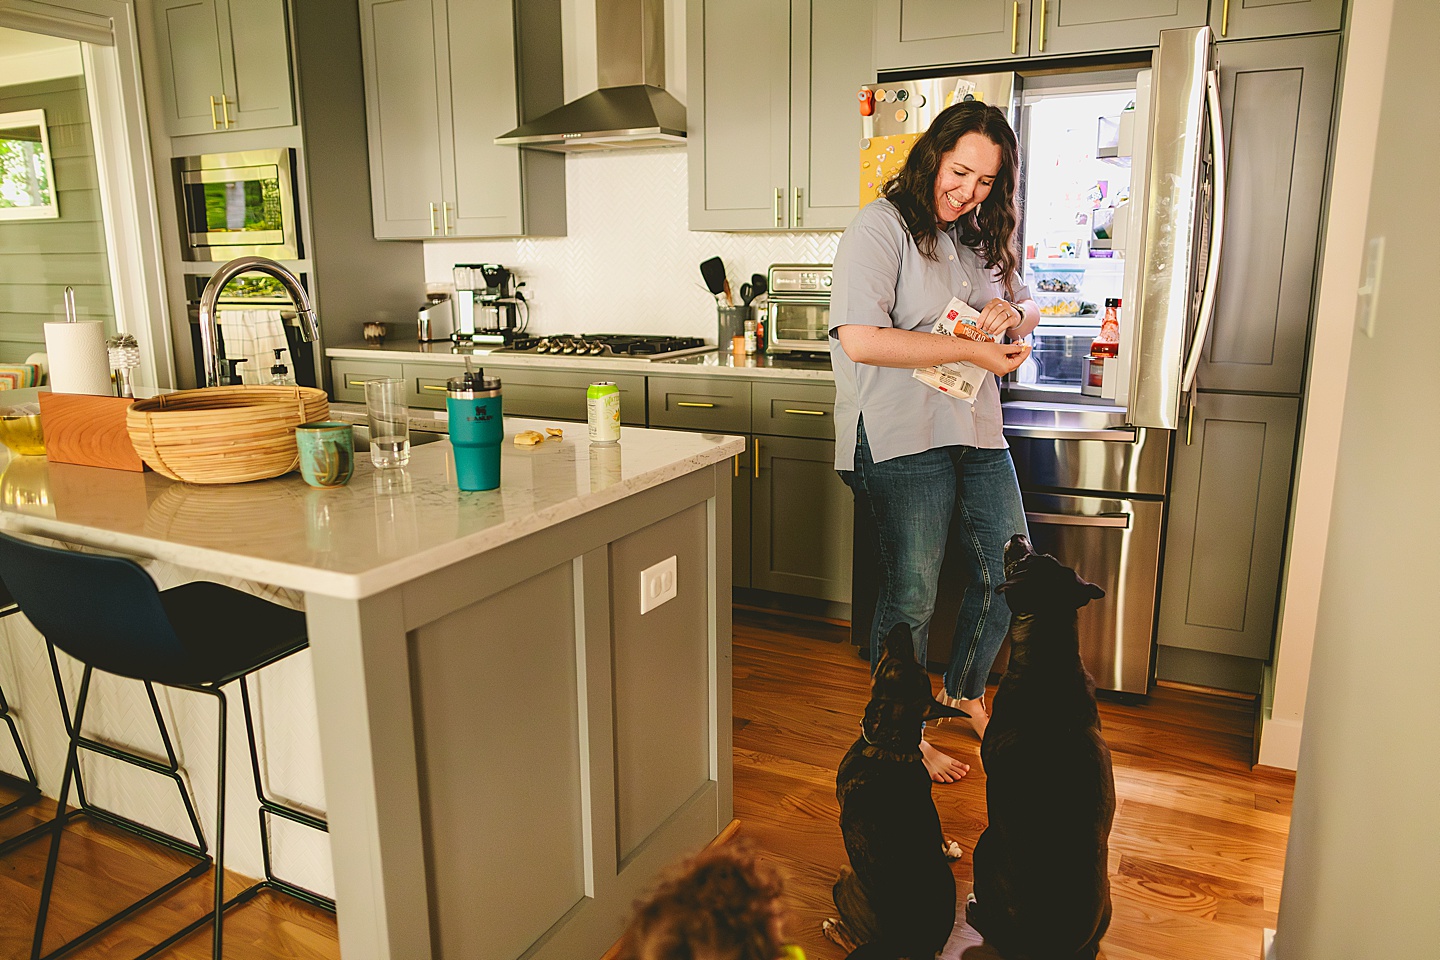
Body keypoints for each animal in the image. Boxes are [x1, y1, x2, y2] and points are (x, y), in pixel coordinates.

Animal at [835, 618, 967, 955]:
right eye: (919, 666)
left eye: (887, 667)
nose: (904, 625)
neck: (892, 746)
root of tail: (916, 946)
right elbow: (939, 833)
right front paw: (949, 848)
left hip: (845, 878)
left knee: (856, 943)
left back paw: (834, 928)